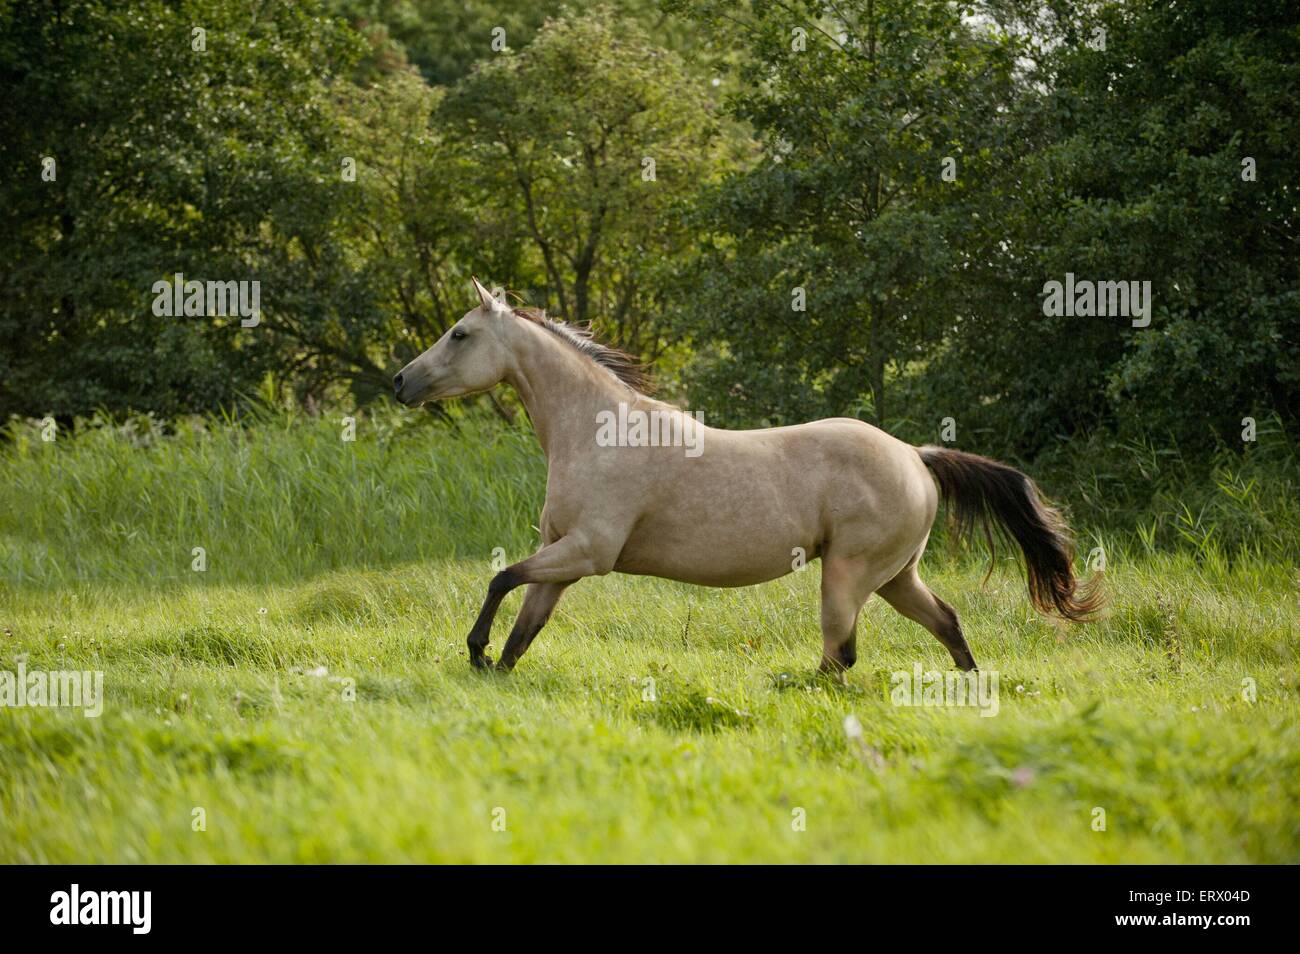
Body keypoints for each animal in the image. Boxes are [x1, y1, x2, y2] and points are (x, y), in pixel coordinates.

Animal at [390, 280, 1102, 675]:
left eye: (459, 334)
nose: (399, 381)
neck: (598, 430)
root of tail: (915, 455)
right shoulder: (563, 558)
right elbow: (525, 626)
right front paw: (491, 667)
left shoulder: (588, 553)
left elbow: (500, 578)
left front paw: (474, 650)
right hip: (896, 577)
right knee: (945, 623)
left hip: (849, 574)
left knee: (840, 655)